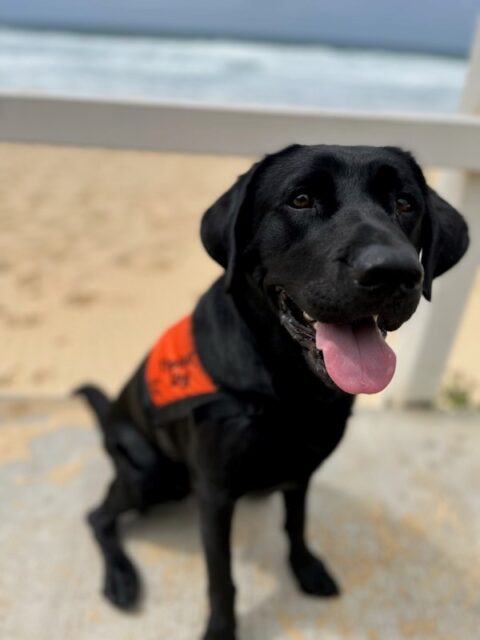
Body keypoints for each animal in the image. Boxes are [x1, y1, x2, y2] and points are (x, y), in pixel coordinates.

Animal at [79, 145, 468, 640]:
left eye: (405, 203)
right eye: (300, 199)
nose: (393, 271)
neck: (291, 388)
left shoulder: (301, 471)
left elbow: (296, 524)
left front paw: (306, 568)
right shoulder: (216, 495)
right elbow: (221, 578)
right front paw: (221, 630)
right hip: (150, 471)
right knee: (98, 518)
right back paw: (120, 576)